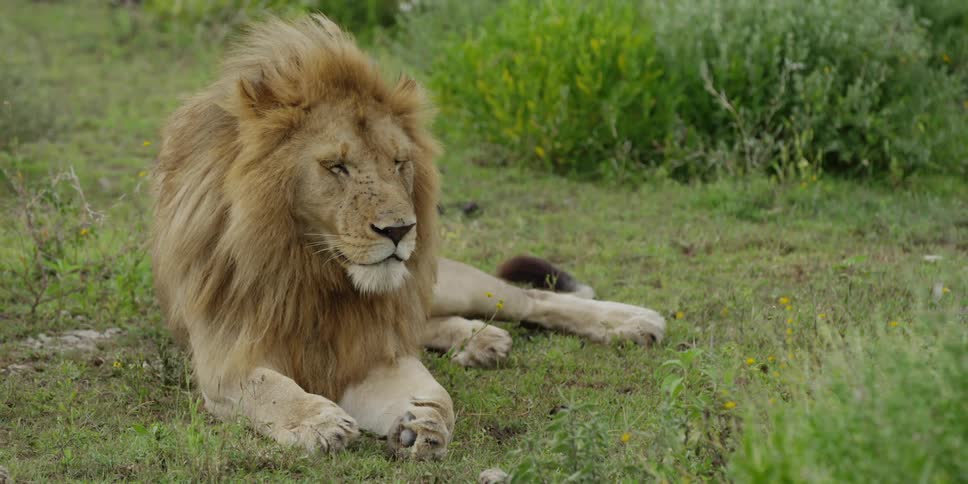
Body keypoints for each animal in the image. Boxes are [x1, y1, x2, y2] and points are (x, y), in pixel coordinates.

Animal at [150, 15, 665, 460]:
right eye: (337, 167)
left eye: (399, 163)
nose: (399, 230)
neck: (316, 274)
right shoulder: (226, 361)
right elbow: (269, 387)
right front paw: (319, 421)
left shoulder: (372, 351)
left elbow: (435, 390)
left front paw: (427, 421)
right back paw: (482, 340)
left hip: (449, 283)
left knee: (530, 300)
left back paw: (632, 321)